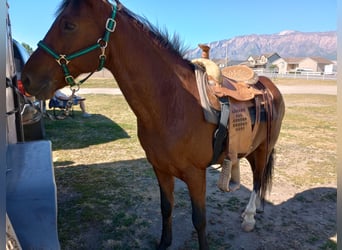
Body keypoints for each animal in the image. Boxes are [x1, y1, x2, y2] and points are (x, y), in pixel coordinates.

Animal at [20, 0, 284, 249]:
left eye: (69, 25)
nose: (25, 79)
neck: (173, 104)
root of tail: (269, 86)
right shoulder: (160, 169)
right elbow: (166, 208)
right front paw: (164, 242)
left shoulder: (196, 175)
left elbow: (199, 220)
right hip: (249, 150)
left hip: (264, 148)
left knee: (258, 178)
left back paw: (249, 217)